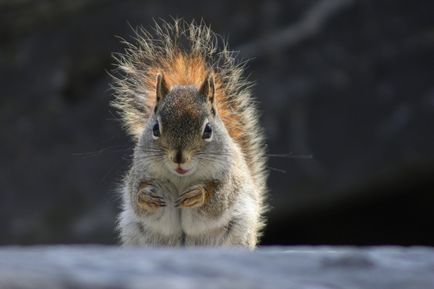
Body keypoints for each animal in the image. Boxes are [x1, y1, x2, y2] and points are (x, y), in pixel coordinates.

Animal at [111, 19, 268, 248]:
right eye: (155, 129)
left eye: (208, 130)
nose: (179, 158)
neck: (181, 178)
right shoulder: (139, 173)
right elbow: (136, 197)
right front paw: (146, 196)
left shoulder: (230, 178)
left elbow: (219, 200)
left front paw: (198, 194)